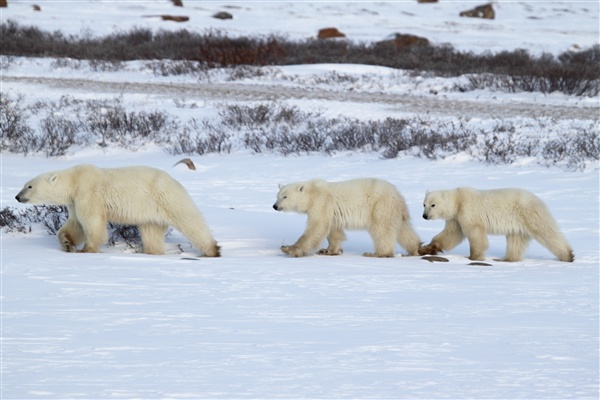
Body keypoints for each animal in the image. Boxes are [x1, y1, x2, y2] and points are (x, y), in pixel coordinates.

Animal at [15, 162, 220, 256]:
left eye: (29, 186)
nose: (17, 197)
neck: (74, 180)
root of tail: (175, 181)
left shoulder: (88, 193)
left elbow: (91, 222)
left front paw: (87, 249)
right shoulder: (74, 202)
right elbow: (75, 224)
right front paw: (66, 243)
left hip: (166, 197)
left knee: (190, 221)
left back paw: (213, 250)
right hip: (150, 212)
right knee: (151, 232)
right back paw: (152, 252)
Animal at [274, 177, 422, 258]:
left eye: (285, 197)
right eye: (277, 195)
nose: (274, 206)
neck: (312, 192)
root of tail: (398, 195)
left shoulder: (321, 203)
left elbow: (316, 227)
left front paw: (289, 249)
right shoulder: (332, 211)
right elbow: (334, 231)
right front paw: (329, 250)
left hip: (380, 206)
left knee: (381, 230)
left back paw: (376, 253)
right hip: (394, 211)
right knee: (404, 230)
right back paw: (416, 249)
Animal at [420, 188, 576, 262]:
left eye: (433, 205)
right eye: (424, 204)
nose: (424, 216)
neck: (458, 200)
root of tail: (538, 199)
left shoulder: (468, 210)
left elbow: (475, 232)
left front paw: (474, 257)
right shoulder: (456, 218)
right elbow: (451, 234)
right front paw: (427, 248)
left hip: (529, 213)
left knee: (546, 231)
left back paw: (568, 256)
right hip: (518, 223)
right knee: (516, 240)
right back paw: (507, 259)